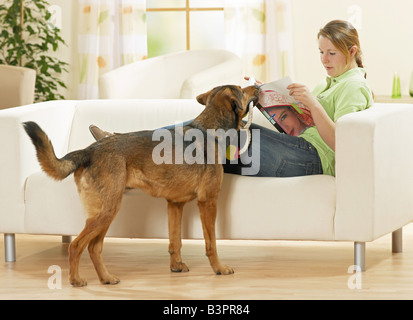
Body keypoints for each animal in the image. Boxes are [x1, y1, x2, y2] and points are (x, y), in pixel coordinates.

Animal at [23, 84, 258, 286]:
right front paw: (219, 268)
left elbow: (175, 242)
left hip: (106, 212)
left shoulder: (175, 204)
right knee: (76, 245)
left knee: (94, 248)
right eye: (241, 88)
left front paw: (176, 266)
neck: (210, 129)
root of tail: (88, 150)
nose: (257, 86)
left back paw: (106, 278)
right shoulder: (208, 202)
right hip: (108, 210)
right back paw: (76, 280)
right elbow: (212, 243)